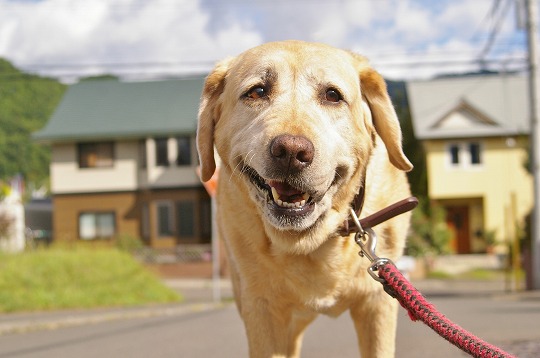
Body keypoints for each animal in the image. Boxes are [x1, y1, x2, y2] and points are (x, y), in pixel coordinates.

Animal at [196, 39, 412, 358]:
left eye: (333, 95)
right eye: (257, 91)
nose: (291, 151)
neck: (310, 241)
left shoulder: (377, 303)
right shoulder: (261, 309)